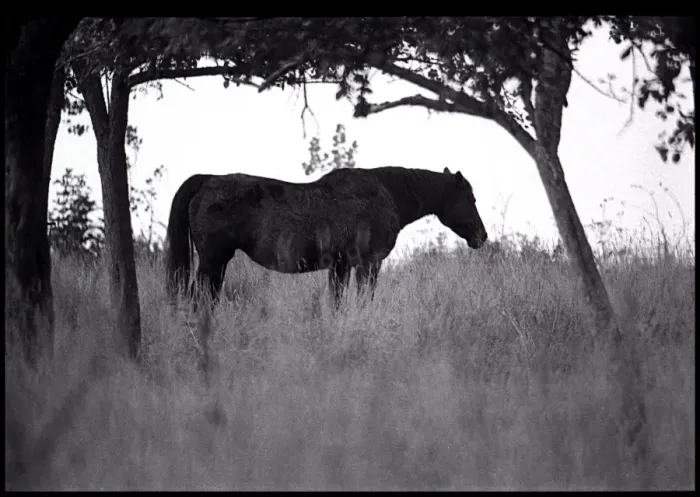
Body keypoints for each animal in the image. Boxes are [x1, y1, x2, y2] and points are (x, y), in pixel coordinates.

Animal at [164, 166, 488, 308]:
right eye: (470, 199)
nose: (482, 236)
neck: (387, 193)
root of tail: (206, 180)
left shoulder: (340, 267)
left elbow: (337, 303)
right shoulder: (368, 264)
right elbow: (362, 300)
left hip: (217, 263)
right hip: (213, 261)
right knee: (200, 297)